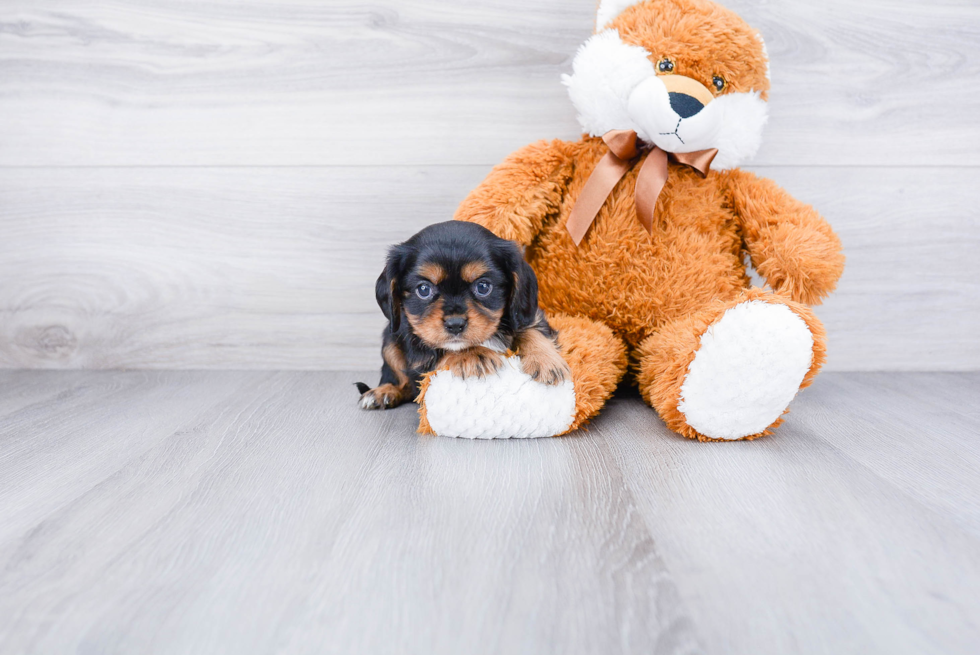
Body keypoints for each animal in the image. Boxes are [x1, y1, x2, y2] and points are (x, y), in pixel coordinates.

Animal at [356, 223, 572, 412]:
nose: (455, 324)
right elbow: (440, 349)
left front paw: (545, 361)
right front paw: (472, 354)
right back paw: (382, 392)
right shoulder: (418, 342)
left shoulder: (528, 315)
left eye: (483, 286)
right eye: (424, 290)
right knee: (402, 382)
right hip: (389, 342)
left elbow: (530, 331)